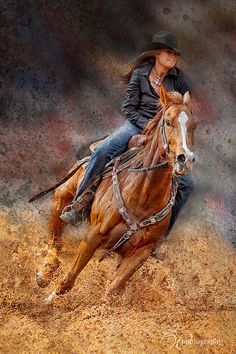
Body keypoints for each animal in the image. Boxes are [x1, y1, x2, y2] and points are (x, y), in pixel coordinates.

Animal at [36, 86, 196, 302]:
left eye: (193, 125)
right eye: (168, 122)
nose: (184, 159)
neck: (143, 197)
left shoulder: (140, 254)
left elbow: (111, 292)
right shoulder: (94, 237)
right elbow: (68, 281)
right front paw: (49, 299)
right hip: (61, 199)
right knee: (55, 241)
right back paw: (44, 273)